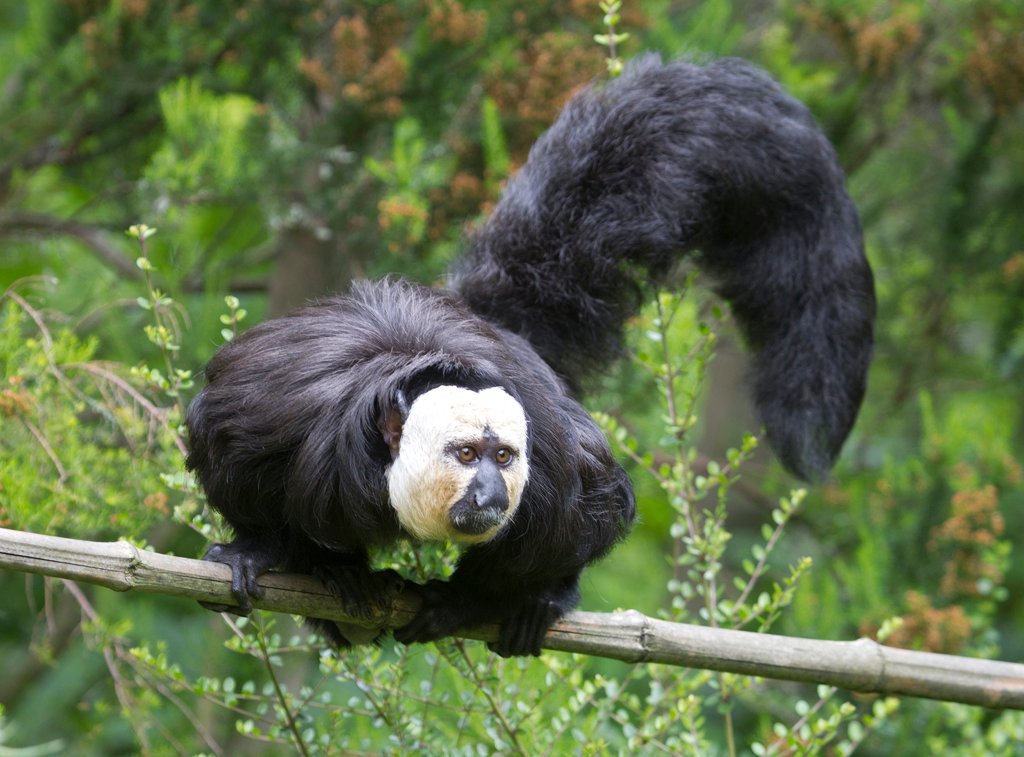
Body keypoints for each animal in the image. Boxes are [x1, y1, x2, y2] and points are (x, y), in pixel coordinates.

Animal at [185, 55, 875, 657]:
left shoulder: (548, 466)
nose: (492, 491)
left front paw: (477, 602)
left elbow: (592, 502)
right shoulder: (280, 413)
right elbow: (223, 444)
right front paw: (261, 550)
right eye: (466, 455)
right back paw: (339, 575)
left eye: (503, 457)